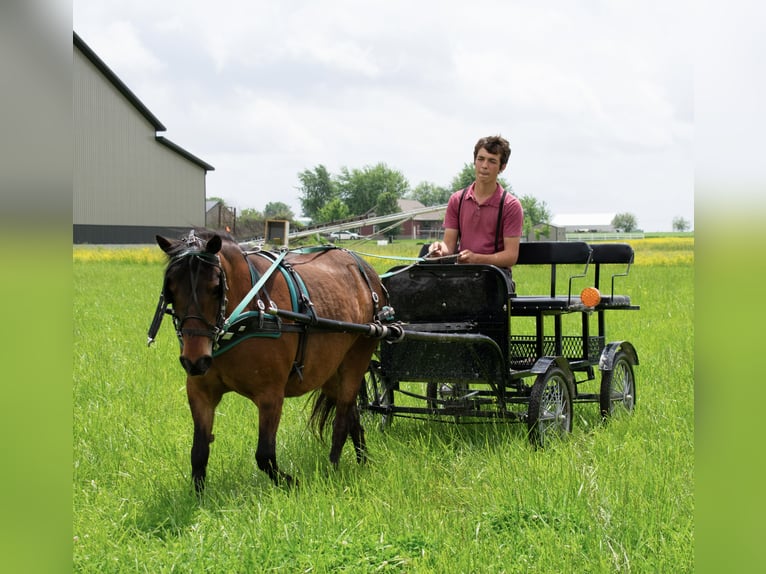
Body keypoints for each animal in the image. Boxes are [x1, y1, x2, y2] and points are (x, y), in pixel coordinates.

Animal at [152, 228, 390, 490]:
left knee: (341, 420)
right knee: (351, 415)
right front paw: (198, 496)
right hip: (329, 370)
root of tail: (368, 272)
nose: (195, 361)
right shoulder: (200, 391)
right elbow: (199, 453)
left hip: (357, 357)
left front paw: (293, 483)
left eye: (215, 287)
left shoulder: (271, 395)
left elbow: (264, 455)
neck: (246, 312)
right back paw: (363, 460)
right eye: (171, 290)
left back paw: (333, 468)